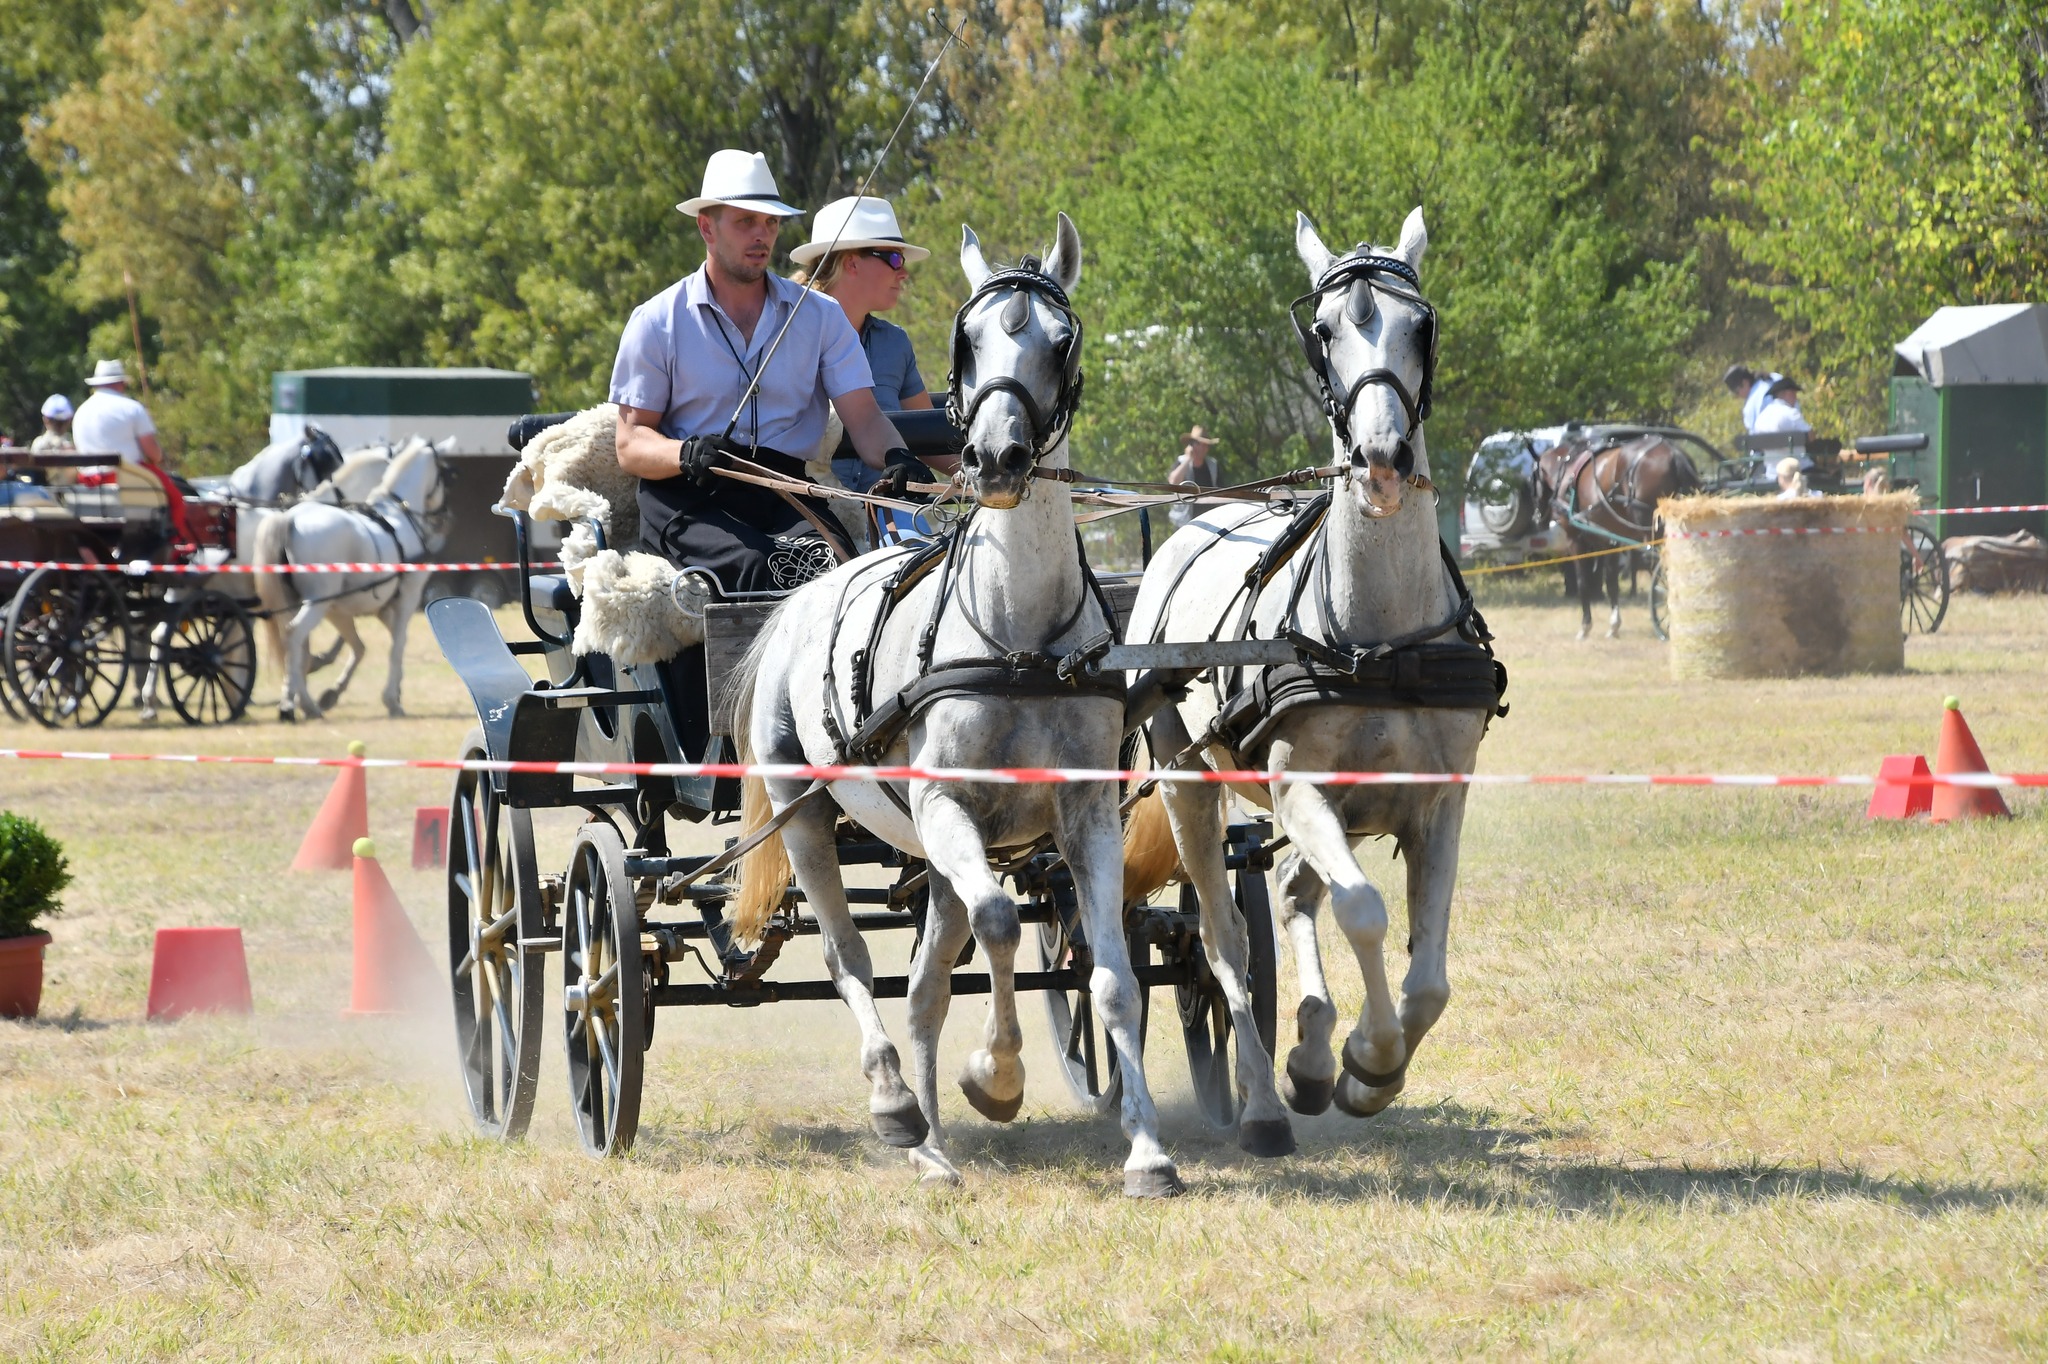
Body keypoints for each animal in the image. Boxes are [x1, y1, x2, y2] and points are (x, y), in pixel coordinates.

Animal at [252, 436, 450, 720]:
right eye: (447, 472)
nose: (444, 518)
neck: (396, 515)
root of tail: (289, 519)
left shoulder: (350, 607)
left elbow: (360, 645)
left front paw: (334, 692)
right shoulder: (407, 597)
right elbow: (397, 643)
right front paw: (392, 699)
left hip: (301, 602)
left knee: (294, 642)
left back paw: (298, 700)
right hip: (318, 602)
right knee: (294, 633)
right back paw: (298, 704)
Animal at [724, 214, 1183, 1196]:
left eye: (1061, 339)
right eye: (968, 339)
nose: (996, 458)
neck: (1021, 639)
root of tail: (800, 595)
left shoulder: (1085, 813)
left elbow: (1111, 977)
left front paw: (1148, 1153)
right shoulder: (946, 804)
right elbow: (1002, 924)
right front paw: (996, 1077)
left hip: (929, 853)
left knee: (928, 981)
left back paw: (934, 1143)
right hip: (808, 813)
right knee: (851, 957)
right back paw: (899, 1109)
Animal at [1123, 207, 1507, 1142]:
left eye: (1421, 325)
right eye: (1325, 330)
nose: (1382, 458)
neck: (1384, 638)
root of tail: (1196, 524)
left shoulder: (1440, 796)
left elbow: (1429, 972)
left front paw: (1365, 1069)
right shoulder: (1299, 786)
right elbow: (1365, 909)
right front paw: (1367, 1057)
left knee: (1295, 890)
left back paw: (1305, 1053)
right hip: (1186, 783)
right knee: (1221, 940)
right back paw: (1265, 1100)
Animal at [1533, 433, 1699, 639]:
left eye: (1532, 481)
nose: (1537, 518)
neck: (1567, 470)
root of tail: (1674, 454)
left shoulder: (1576, 541)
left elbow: (1583, 582)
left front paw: (1585, 626)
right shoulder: (1609, 540)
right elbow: (1612, 581)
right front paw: (1614, 625)